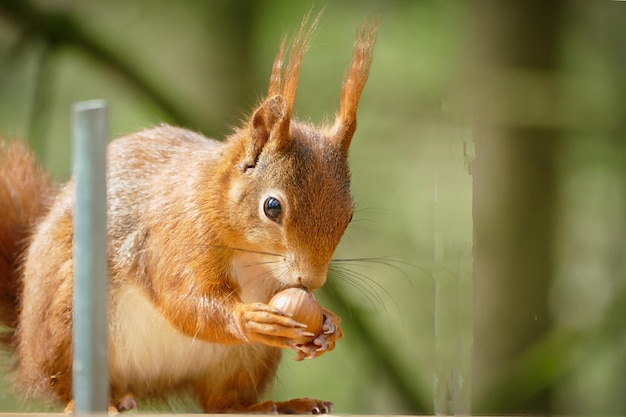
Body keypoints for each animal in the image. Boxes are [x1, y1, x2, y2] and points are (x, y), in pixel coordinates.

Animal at [0, 14, 376, 414]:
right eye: (272, 207)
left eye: (349, 216)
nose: (312, 280)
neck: (250, 253)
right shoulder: (176, 236)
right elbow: (184, 298)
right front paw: (248, 318)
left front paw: (329, 327)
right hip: (67, 318)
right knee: (61, 385)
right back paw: (94, 402)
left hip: (243, 361)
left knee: (222, 403)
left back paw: (278, 404)